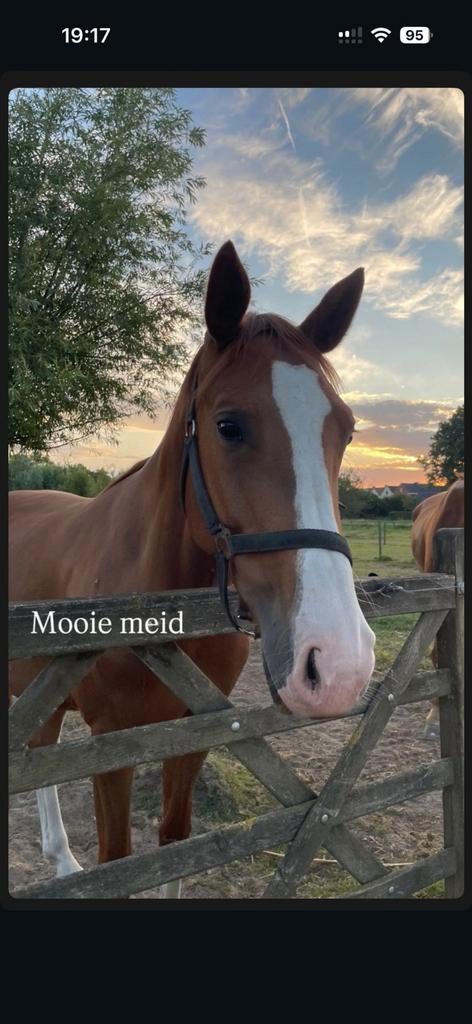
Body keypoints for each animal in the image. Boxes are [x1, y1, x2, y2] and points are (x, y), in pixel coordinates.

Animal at [9, 240, 376, 897]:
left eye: (347, 429)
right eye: (228, 425)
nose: (338, 663)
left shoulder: (192, 735)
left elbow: (175, 845)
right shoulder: (111, 742)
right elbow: (120, 860)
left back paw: (61, 857)